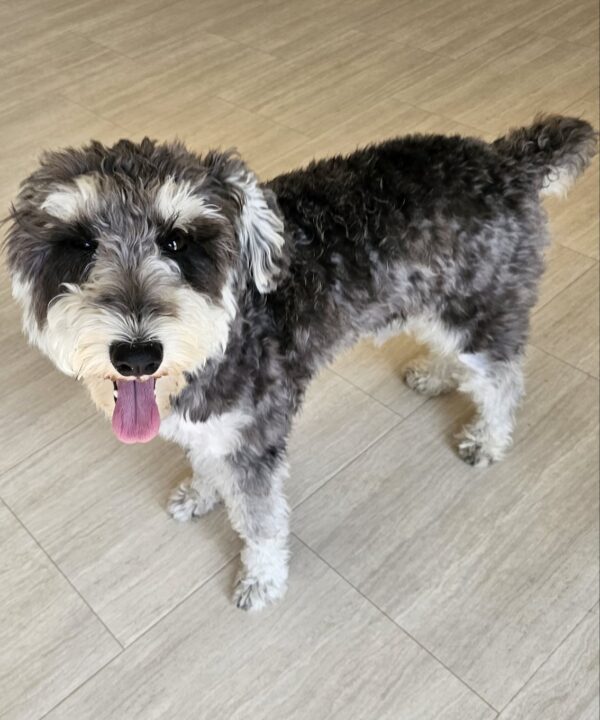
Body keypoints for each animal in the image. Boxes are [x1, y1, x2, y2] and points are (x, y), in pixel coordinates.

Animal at [5, 114, 596, 610]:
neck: (234, 328)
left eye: (178, 241)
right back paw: (434, 374)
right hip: (431, 302)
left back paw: (488, 439)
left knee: (501, 380)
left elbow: (261, 523)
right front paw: (201, 493)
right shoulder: (213, 428)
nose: (136, 356)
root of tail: (506, 161)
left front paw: (262, 580)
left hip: (477, 311)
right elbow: (205, 463)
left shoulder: (254, 441)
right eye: (80, 243)